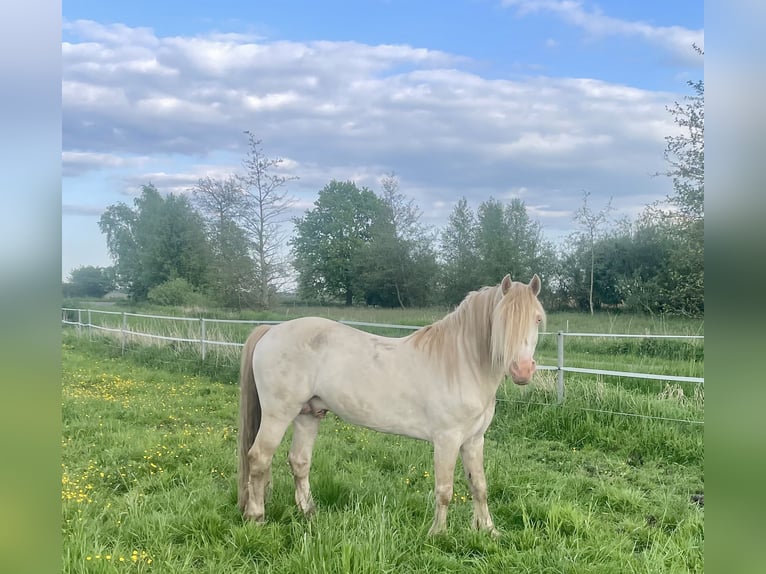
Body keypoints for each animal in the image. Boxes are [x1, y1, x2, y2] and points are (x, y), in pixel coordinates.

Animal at [238, 274, 544, 536]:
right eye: (502, 320)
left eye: (538, 320)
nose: (522, 370)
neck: (461, 363)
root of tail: (271, 331)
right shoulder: (447, 439)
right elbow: (444, 489)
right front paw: (438, 534)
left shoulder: (474, 439)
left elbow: (479, 485)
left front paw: (488, 530)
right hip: (279, 414)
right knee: (259, 459)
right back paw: (256, 517)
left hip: (308, 415)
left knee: (299, 462)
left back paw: (309, 512)